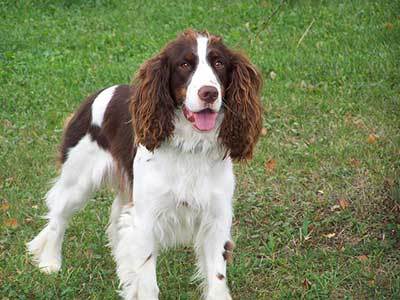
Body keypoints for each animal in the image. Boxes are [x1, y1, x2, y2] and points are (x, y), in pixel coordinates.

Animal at [28, 28, 264, 300]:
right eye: (184, 64)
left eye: (219, 63)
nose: (209, 93)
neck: (191, 147)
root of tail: (95, 96)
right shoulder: (146, 220)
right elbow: (148, 281)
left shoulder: (216, 219)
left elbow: (216, 278)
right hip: (77, 181)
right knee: (58, 216)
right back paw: (50, 262)